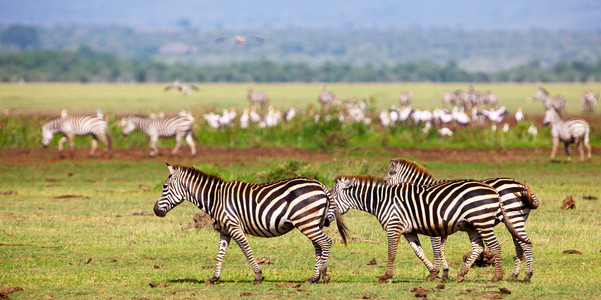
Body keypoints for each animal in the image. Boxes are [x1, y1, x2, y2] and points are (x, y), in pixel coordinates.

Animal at [155, 163, 350, 284]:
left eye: (164, 187)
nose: (156, 211)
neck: (215, 198)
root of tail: (320, 184)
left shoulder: (234, 226)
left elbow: (246, 251)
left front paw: (257, 276)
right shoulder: (224, 230)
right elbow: (220, 255)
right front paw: (214, 278)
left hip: (306, 221)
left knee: (326, 242)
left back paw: (322, 275)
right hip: (312, 222)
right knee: (319, 245)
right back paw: (315, 276)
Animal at [328, 175, 528, 282]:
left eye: (331, 197)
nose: (327, 220)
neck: (382, 201)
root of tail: (493, 190)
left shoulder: (394, 226)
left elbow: (391, 253)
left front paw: (386, 276)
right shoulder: (409, 231)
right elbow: (419, 252)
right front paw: (433, 273)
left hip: (483, 221)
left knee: (496, 246)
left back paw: (498, 277)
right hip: (473, 224)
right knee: (479, 247)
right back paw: (462, 274)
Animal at [384, 158, 540, 282]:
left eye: (386, 179)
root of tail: (520, 185)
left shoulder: (433, 224)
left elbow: (436, 249)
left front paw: (436, 272)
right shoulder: (442, 226)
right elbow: (441, 248)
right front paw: (445, 273)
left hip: (513, 217)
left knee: (525, 245)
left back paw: (527, 276)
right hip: (515, 220)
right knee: (519, 245)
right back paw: (514, 276)